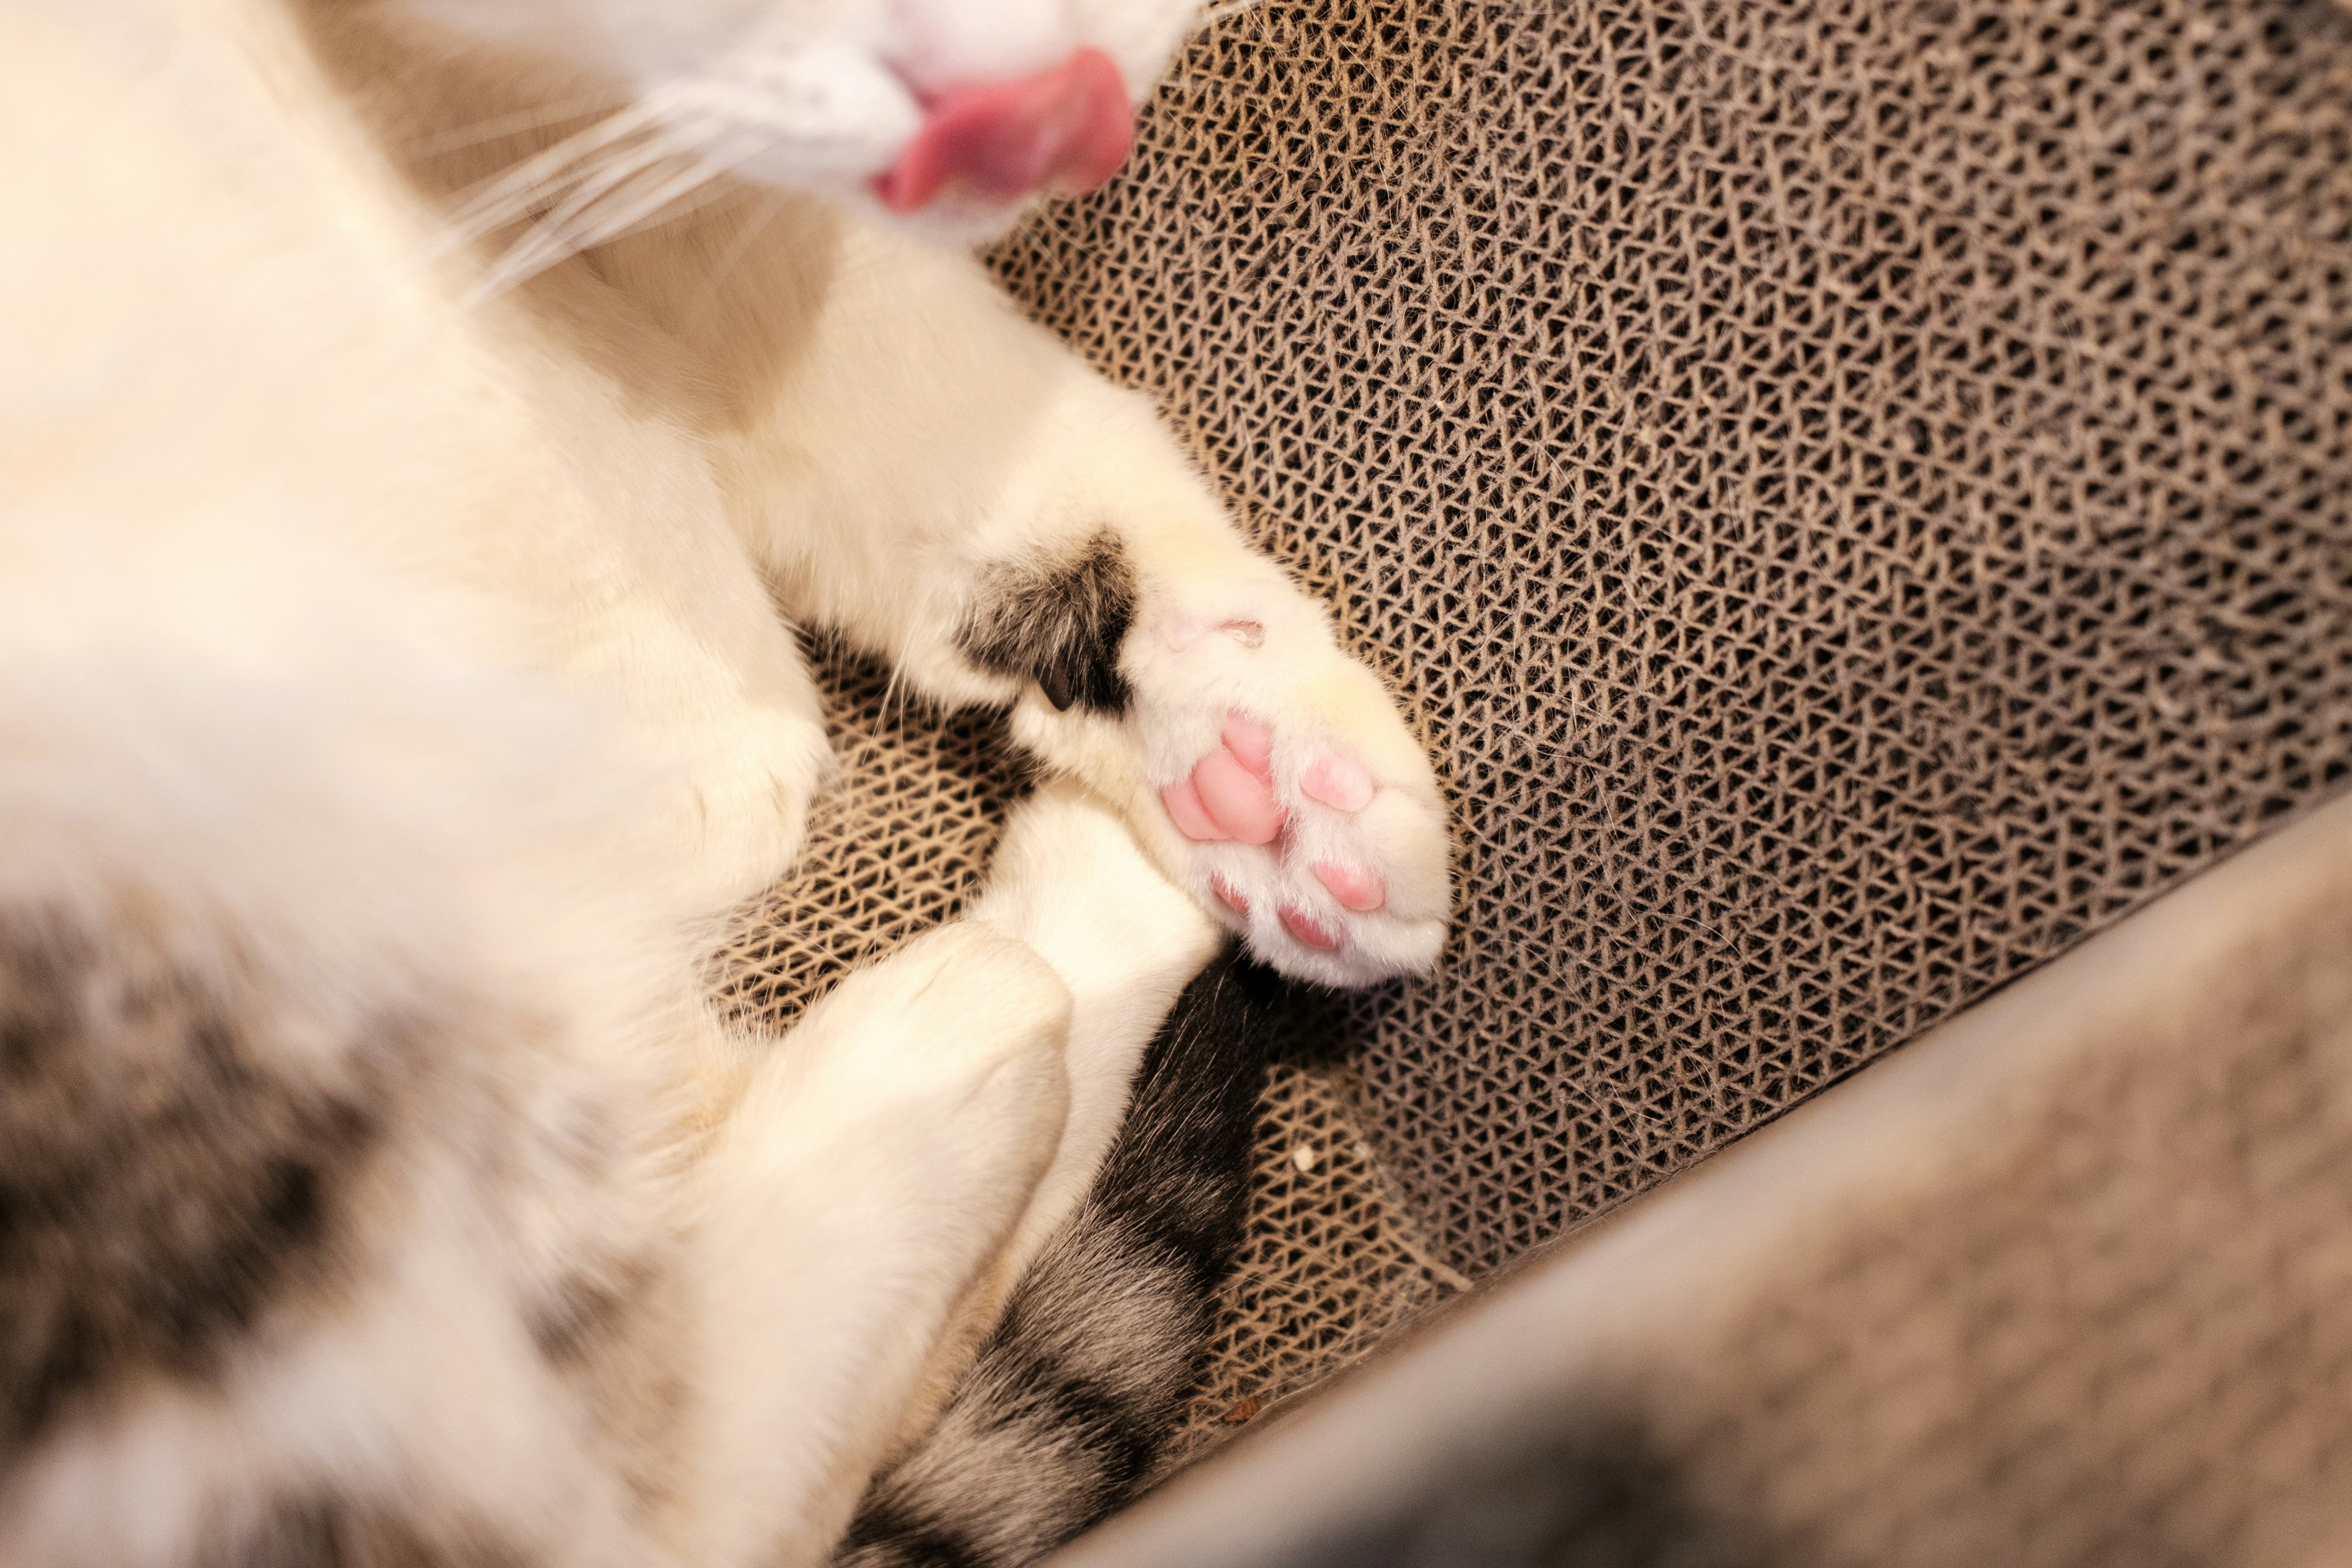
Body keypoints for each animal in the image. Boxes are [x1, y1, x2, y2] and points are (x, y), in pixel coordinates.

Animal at [0, 0, 1449, 1561]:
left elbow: (939, 419)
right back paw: (955, 1033)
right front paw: (696, 717)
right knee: (644, 1481)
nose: (1037, 103)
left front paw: (1256, 765)